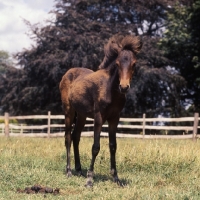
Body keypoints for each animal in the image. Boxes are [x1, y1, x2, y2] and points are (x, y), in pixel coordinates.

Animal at [59, 34, 142, 188]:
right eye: (117, 64)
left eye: (134, 64)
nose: (124, 87)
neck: (111, 91)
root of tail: (67, 74)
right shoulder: (99, 118)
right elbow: (95, 147)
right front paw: (89, 180)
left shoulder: (114, 118)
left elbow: (113, 146)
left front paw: (116, 178)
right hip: (69, 111)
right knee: (67, 138)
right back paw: (69, 171)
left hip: (82, 115)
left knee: (75, 137)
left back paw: (79, 170)